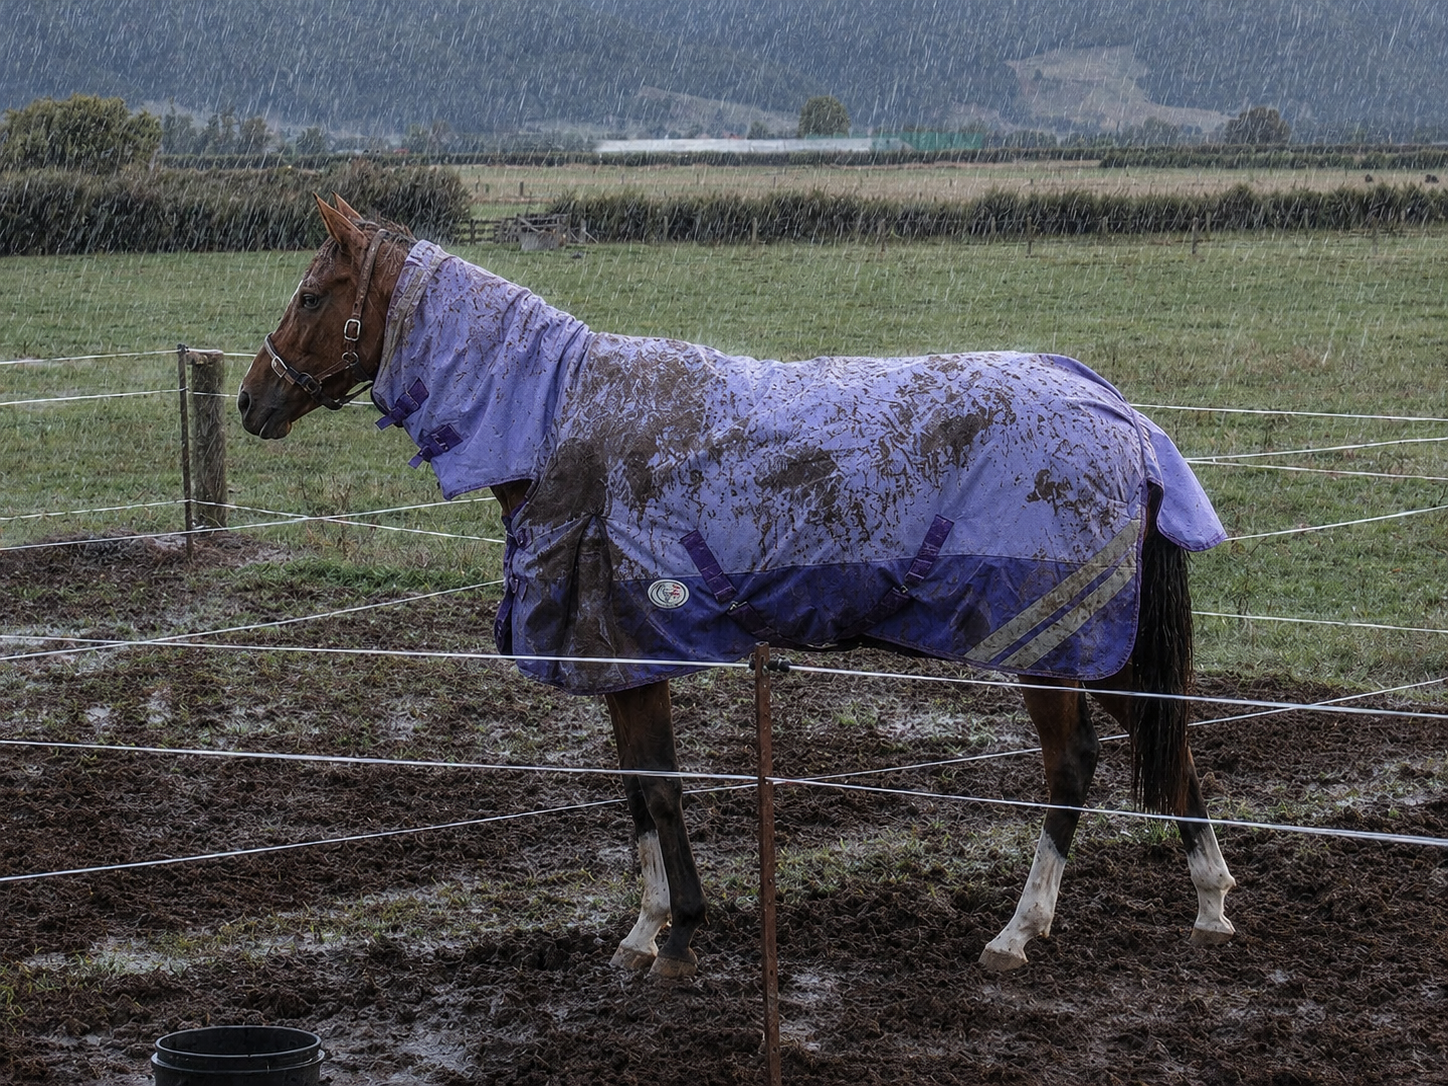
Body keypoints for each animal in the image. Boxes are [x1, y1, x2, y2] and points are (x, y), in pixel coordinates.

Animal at [237, 195, 1236, 978]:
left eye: (312, 295)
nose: (252, 400)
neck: (558, 421)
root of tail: (1120, 415)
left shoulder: (626, 652)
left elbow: (655, 789)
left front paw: (665, 933)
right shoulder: (627, 659)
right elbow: (643, 791)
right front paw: (659, 924)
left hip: (1053, 642)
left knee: (1074, 767)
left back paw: (1019, 931)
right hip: (1096, 645)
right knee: (1171, 737)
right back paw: (1211, 903)